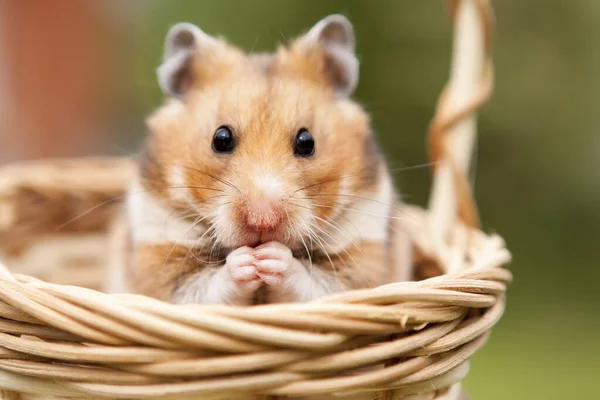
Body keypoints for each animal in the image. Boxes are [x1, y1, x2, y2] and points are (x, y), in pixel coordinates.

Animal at [120, 14, 414, 304]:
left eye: (307, 142)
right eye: (220, 138)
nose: (262, 221)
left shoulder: (362, 260)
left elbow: (318, 284)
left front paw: (271, 258)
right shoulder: (160, 258)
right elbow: (204, 288)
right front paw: (247, 262)